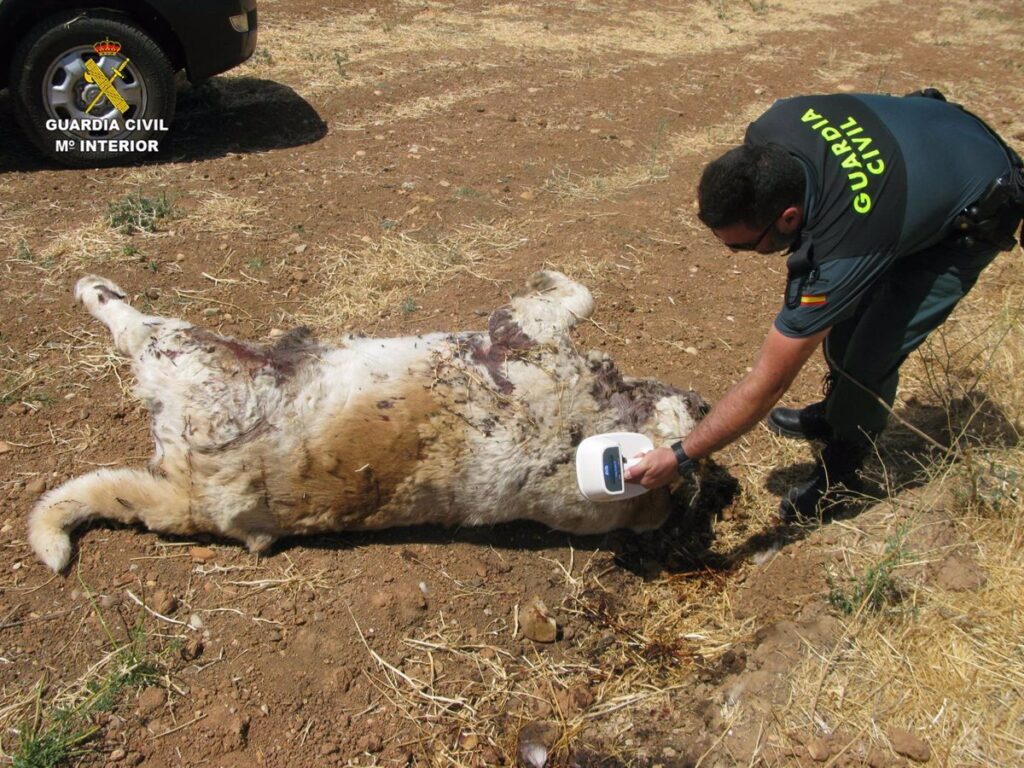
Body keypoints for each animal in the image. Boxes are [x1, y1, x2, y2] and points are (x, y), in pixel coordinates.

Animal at [29, 270, 704, 573]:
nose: (703, 406)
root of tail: (193, 500)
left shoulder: (527, 339)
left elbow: (566, 299)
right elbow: (577, 297)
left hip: (186, 351)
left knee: (128, 325)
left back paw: (93, 288)